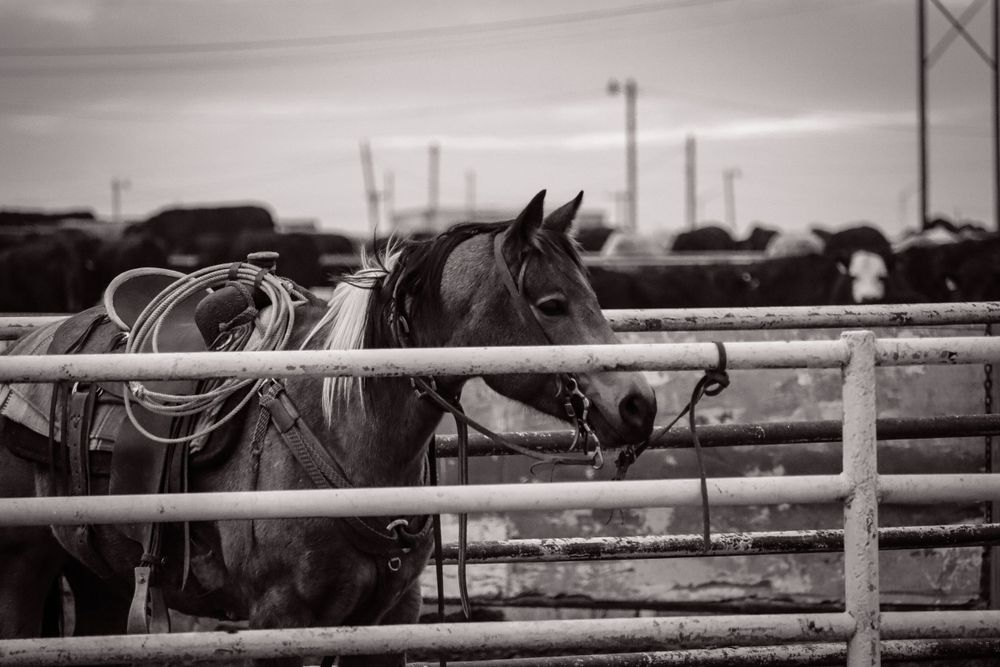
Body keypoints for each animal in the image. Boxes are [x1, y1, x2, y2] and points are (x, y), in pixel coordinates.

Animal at [0, 190, 657, 666]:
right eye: (550, 305)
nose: (640, 404)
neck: (339, 428)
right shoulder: (279, 621)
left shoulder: (392, 619)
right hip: (23, 570)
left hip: (99, 577)